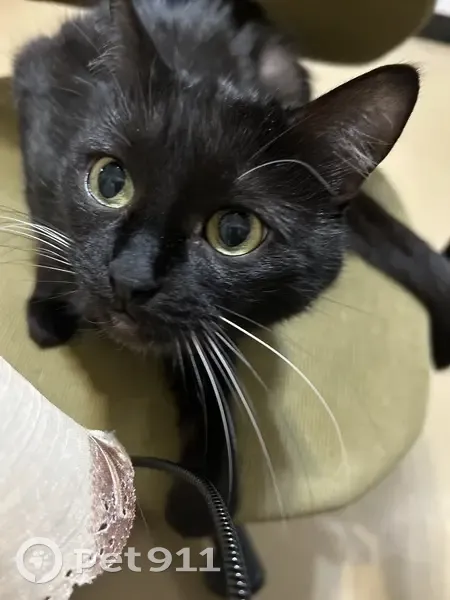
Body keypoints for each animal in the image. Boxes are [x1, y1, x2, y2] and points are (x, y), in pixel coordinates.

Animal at [13, 0, 447, 576]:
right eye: (110, 181)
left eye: (236, 232)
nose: (129, 277)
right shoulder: (39, 93)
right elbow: (47, 204)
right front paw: (52, 306)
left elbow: (213, 364)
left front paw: (209, 485)